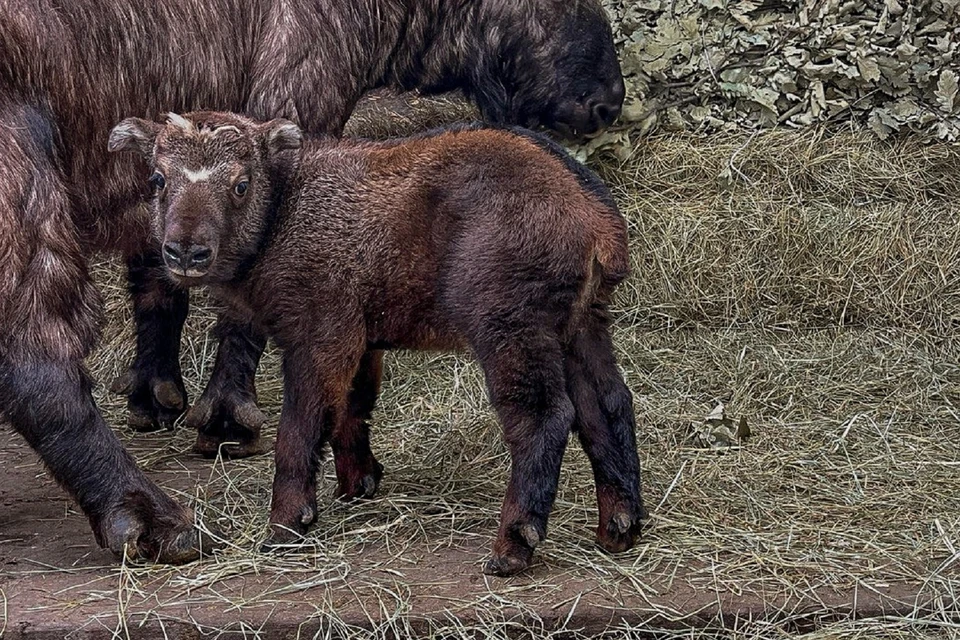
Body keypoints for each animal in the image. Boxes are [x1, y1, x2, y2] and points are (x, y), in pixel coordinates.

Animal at [107, 110, 644, 576]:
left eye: (241, 184)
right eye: (157, 179)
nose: (186, 252)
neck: (284, 210)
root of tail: (593, 218)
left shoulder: (322, 331)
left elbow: (300, 427)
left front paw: (287, 523)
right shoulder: (363, 338)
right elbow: (352, 408)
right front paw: (357, 483)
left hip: (510, 321)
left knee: (543, 418)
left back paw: (513, 545)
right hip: (581, 324)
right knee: (608, 403)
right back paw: (619, 527)